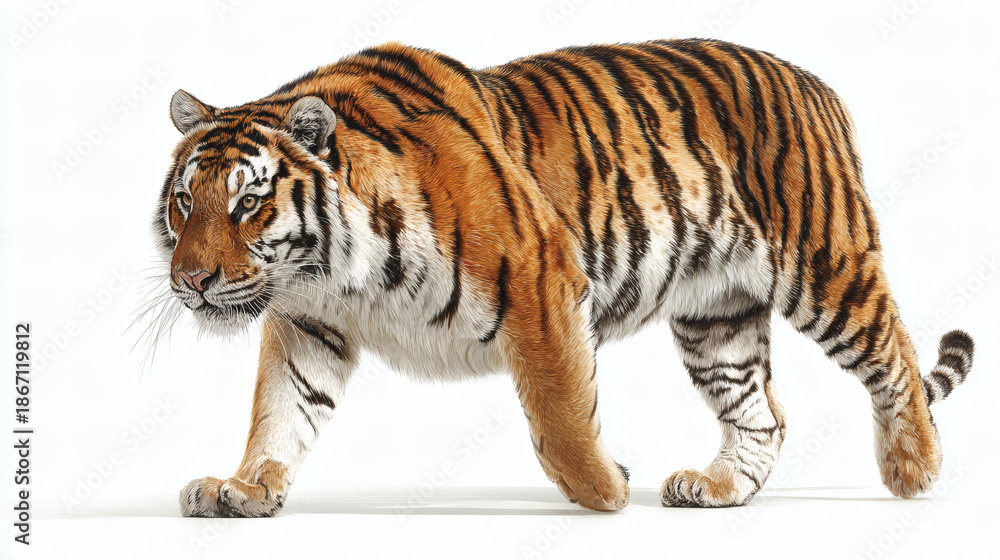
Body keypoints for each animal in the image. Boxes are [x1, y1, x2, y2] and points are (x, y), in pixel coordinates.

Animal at [153, 38, 975, 517]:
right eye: (187, 202)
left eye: (249, 203)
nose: (190, 280)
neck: (336, 272)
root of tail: (813, 82)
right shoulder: (309, 322)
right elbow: (279, 412)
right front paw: (243, 488)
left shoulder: (539, 282)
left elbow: (560, 412)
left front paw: (604, 491)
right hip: (716, 315)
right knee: (761, 414)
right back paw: (717, 489)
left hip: (826, 266)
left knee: (894, 357)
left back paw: (915, 469)